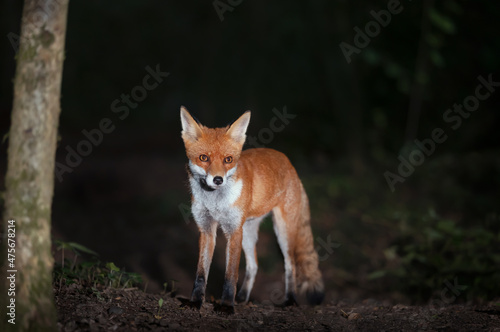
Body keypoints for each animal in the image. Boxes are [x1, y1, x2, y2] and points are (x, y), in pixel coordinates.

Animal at [180, 107, 324, 312]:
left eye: (228, 160)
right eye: (203, 158)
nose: (218, 179)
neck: (215, 203)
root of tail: (289, 163)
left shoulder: (233, 230)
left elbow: (230, 274)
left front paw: (226, 306)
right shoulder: (206, 229)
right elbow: (201, 274)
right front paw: (195, 302)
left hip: (283, 231)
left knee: (291, 265)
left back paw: (290, 300)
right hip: (248, 232)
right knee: (254, 266)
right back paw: (242, 298)